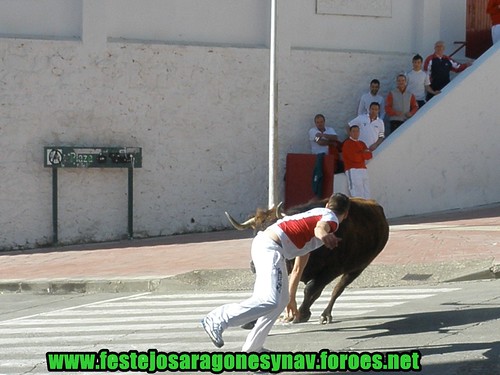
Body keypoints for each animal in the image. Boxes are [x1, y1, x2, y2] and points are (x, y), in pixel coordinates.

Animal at [227, 198, 390, 324]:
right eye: (255, 233)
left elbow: (310, 289)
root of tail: (375, 205)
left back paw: (325, 314)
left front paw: (301, 313)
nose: (254, 266)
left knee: (338, 288)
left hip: (357, 268)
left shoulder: (331, 270)